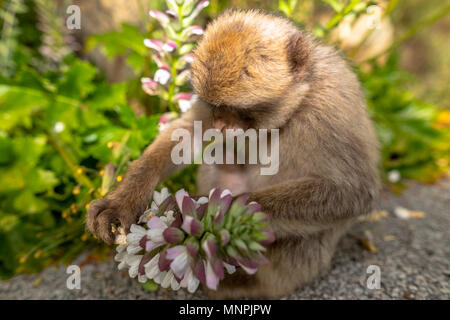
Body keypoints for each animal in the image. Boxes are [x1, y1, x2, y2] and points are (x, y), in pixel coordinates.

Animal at [85, 10, 380, 300]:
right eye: (214, 105)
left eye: (238, 109)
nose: (220, 124)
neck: (297, 105)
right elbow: (187, 133)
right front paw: (123, 200)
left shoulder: (330, 109)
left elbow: (352, 193)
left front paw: (200, 211)